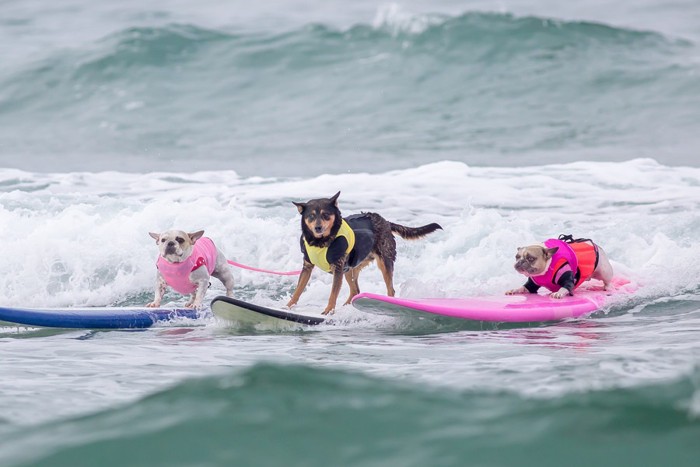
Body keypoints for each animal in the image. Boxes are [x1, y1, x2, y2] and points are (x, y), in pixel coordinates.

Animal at [286, 192, 440, 316]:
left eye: (326, 215)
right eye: (311, 216)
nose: (318, 227)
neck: (321, 241)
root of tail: (385, 222)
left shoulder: (337, 269)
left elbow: (333, 293)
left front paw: (329, 310)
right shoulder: (307, 267)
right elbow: (298, 289)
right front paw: (288, 306)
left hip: (384, 262)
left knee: (390, 289)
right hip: (350, 268)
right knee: (356, 290)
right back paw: (347, 307)